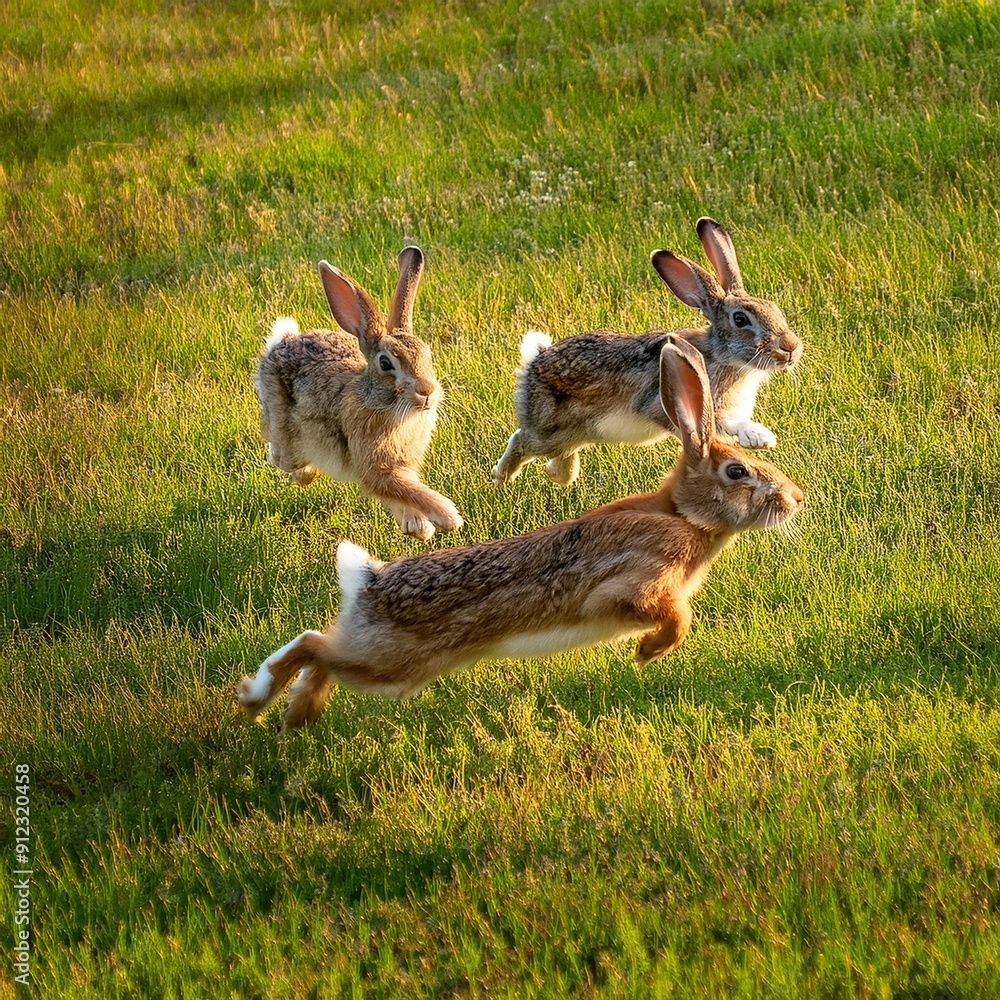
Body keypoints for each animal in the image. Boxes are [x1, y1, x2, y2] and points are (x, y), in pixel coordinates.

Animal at [238, 336, 804, 730]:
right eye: (737, 471)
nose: (795, 499)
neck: (683, 516)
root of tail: (367, 580)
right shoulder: (630, 587)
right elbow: (677, 617)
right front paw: (646, 653)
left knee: (320, 654)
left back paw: (297, 714)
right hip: (392, 665)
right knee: (313, 646)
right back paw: (257, 698)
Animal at [255, 246, 463, 541]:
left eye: (427, 355)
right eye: (385, 363)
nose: (427, 392)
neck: (382, 404)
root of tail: (280, 342)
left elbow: (403, 492)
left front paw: (417, 527)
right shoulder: (375, 467)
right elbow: (405, 489)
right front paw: (447, 516)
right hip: (286, 436)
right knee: (279, 454)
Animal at [492, 217, 803, 487]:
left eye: (774, 308)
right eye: (740, 319)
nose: (790, 347)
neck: (721, 356)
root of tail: (535, 360)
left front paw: (759, 438)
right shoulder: (668, 403)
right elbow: (720, 422)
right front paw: (759, 436)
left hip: (573, 436)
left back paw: (554, 474)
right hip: (548, 431)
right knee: (521, 440)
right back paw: (500, 477)